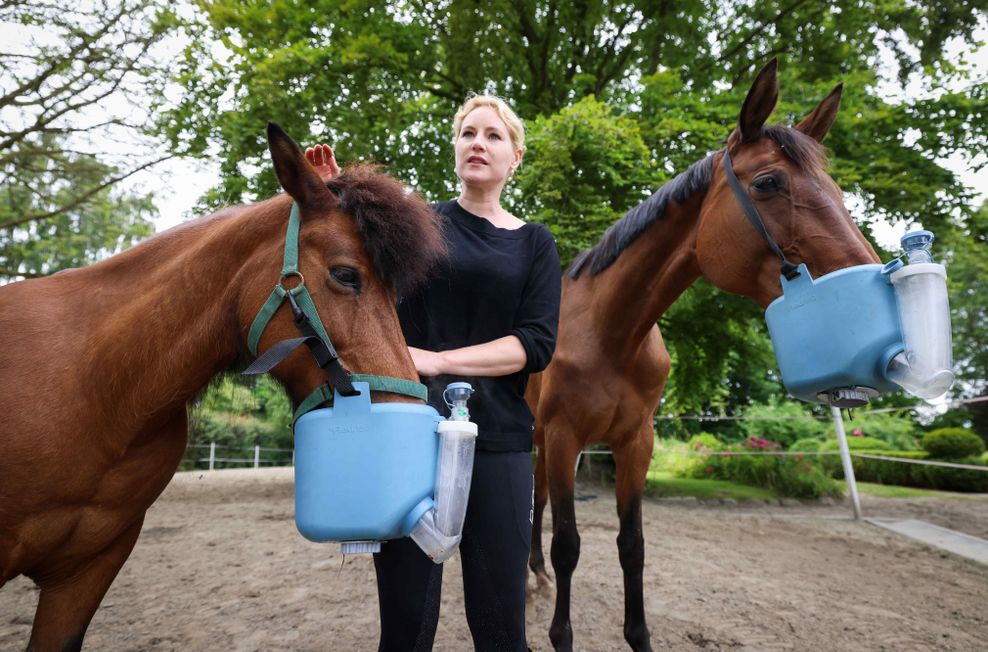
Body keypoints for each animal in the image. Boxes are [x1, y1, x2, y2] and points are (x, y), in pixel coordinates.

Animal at [524, 58, 880, 648]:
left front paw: (639, 635)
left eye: (836, 188)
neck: (611, 333)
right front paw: (561, 635)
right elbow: (569, 545)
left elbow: (632, 546)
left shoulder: (636, 443)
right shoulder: (562, 435)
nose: (870, 285)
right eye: (768, 182)